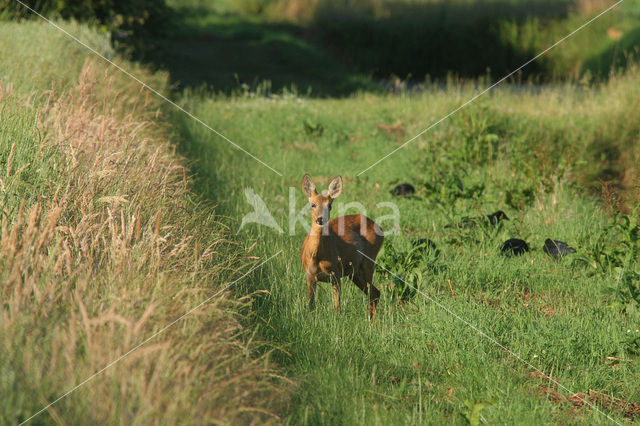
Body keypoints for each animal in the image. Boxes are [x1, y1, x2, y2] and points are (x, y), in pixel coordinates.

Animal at [302, 173, 384, 320]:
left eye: (329, 206)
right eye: (313, 204)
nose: (321, 219)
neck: (317, 256)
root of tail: (380, 228)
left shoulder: (336, 274)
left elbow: (337, 307)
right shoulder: (310, 276)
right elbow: (310, 305)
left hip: (369, 261)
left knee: (372, 293)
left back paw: (371, 322)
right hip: (354, 272)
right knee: (375, 292)